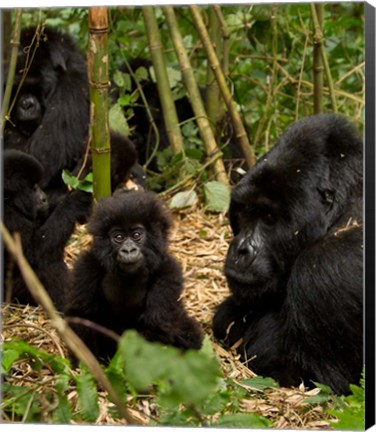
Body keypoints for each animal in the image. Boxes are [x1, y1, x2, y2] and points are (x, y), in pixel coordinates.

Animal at [3, 149, 92, 310]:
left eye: (37, 185)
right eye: (33, 189)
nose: (44, 198)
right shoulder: (8, 219)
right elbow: (36, 253)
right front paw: (76, 200)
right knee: (46, 266)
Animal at [64, 189, 203, 362]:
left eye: (136, 235)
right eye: (119, 237)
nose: (128, 250)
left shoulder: (169, 272)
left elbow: (157, 323)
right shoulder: (86, 267)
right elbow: (81, 314)